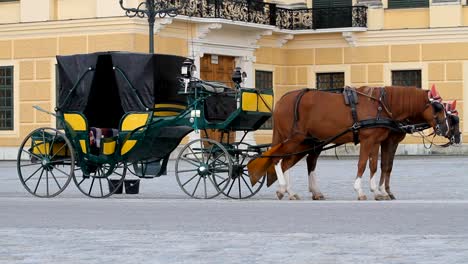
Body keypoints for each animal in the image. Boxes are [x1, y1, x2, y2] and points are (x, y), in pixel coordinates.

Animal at [249, 86, 450, 200]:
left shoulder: (376, 141)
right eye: (438, 108)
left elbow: (374, 165)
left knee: (288, 163)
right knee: (277, 159)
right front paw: (360, 190)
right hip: (294, 139)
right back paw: (285, 189)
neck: (380, 105)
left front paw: (377, 191)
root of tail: (282, 100)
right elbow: (362, 164)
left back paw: (290, 191)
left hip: (305, 142)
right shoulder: (368, 140)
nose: (446, 128)